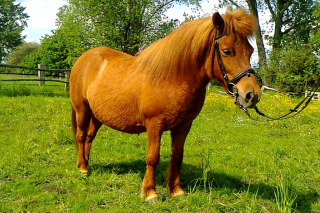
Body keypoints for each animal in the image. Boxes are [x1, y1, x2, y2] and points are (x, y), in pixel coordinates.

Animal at [69, 8, 260, 201]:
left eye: (251, 51)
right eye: (227, 51)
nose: (252, 95)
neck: (172, 79)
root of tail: (84, 58)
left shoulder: (183, 127)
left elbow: (177, 157)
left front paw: (176, 190)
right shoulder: (155, 125)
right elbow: (153, 157)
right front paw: (150, 193)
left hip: (97, 115)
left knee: (89, 137)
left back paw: (86, 163)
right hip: (82, 109)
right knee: (81, 135)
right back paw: (83, 168)